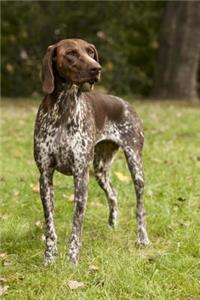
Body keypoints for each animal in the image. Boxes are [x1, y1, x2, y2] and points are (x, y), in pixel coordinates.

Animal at [34, 38, 150, 264]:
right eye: (71, 53)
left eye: (90, 52)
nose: (97, 68)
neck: (64, 108)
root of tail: (124, 102)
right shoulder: (45, 176)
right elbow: (49, 225)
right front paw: (50, 259)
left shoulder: (81, 176)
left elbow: (76, 226)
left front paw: (72, 261)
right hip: (100, 170)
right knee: (113, 195)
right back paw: (112, 226)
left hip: (135, 165)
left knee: (140, 207)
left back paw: (142, 238)